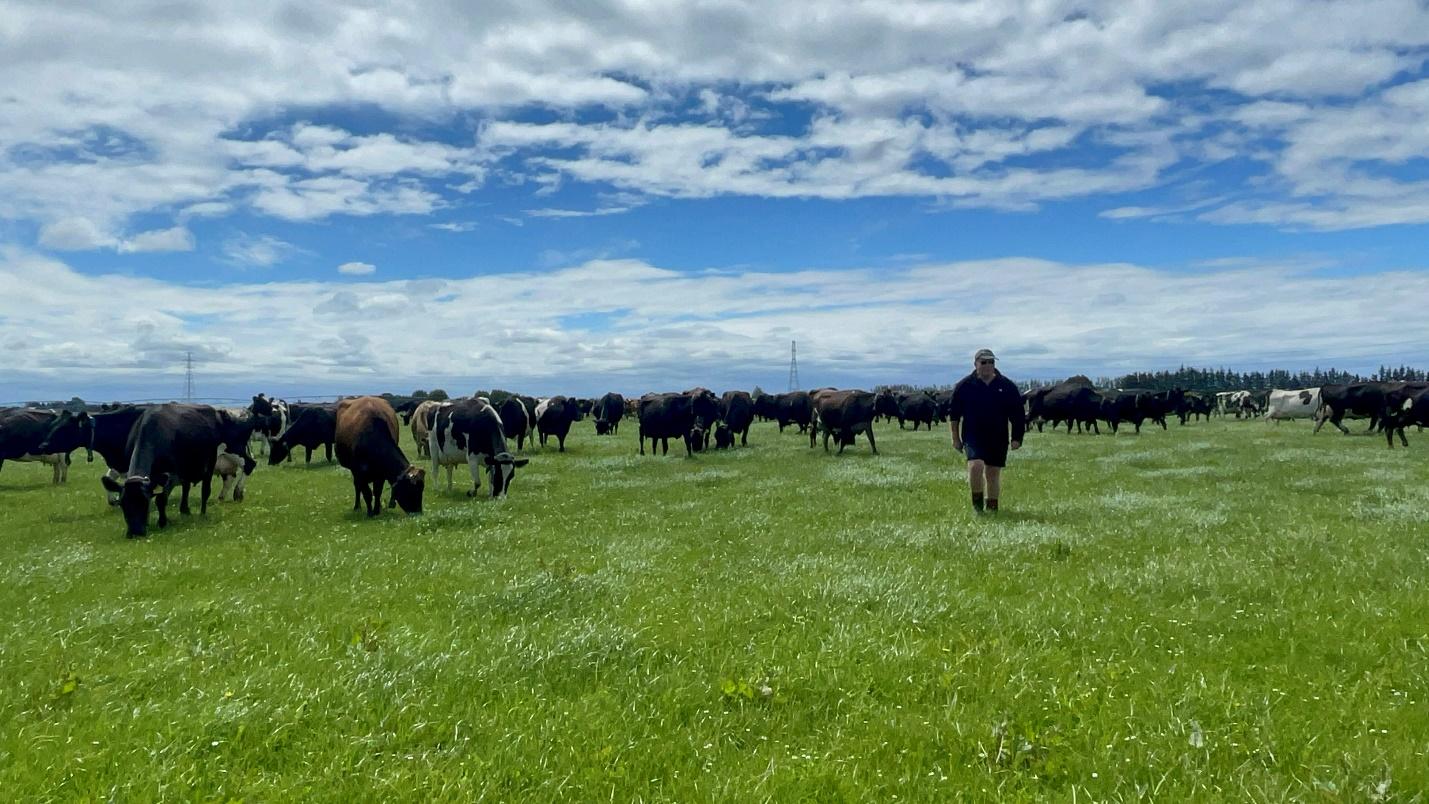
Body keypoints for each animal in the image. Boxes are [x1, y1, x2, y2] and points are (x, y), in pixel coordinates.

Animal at [97, 402, 257, 539]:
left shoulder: (171, 475)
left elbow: (161, 499)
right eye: (123, 505)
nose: (136, 532)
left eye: (145, 503)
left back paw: (205, 511)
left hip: (213, 462)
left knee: (210, 488)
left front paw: (162, 522)